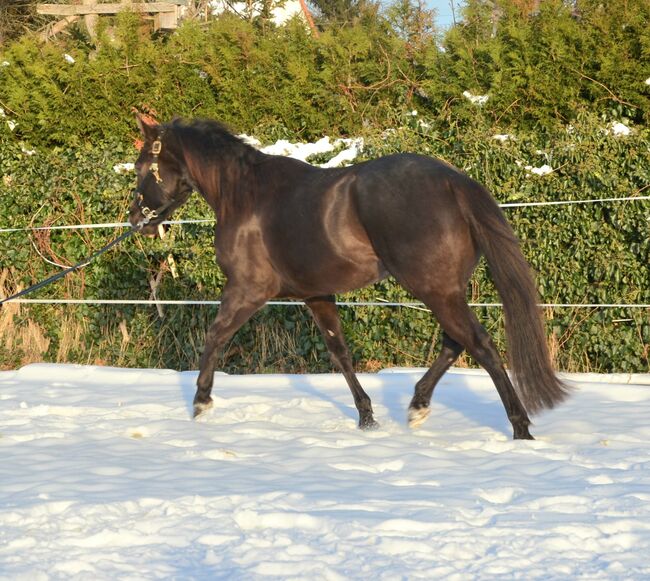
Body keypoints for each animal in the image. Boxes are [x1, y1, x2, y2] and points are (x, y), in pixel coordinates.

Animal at [130, 115, 568, 438]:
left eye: (142, 168)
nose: (137, 220)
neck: (243, 195)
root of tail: (452, 181)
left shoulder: (248, 289)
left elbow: (215, 335)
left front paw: (201, 403)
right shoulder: (317, 294)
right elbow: (339, 353)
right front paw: (367, 417)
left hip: (434, 289)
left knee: (480, 345)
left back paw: (520, 428)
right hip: (446, 289)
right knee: (455, 342)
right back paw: (418, 406)